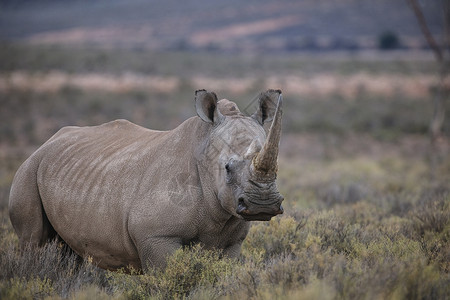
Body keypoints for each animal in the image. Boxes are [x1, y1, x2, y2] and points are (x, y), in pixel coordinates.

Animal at [8, 88, 284, 270]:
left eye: (278, 169)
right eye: (227, 168)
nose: (263, 205)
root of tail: (46, 142)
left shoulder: (231, 242)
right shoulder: (156, 236)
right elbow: (169, 276)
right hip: (29, 169)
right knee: (32, 241)